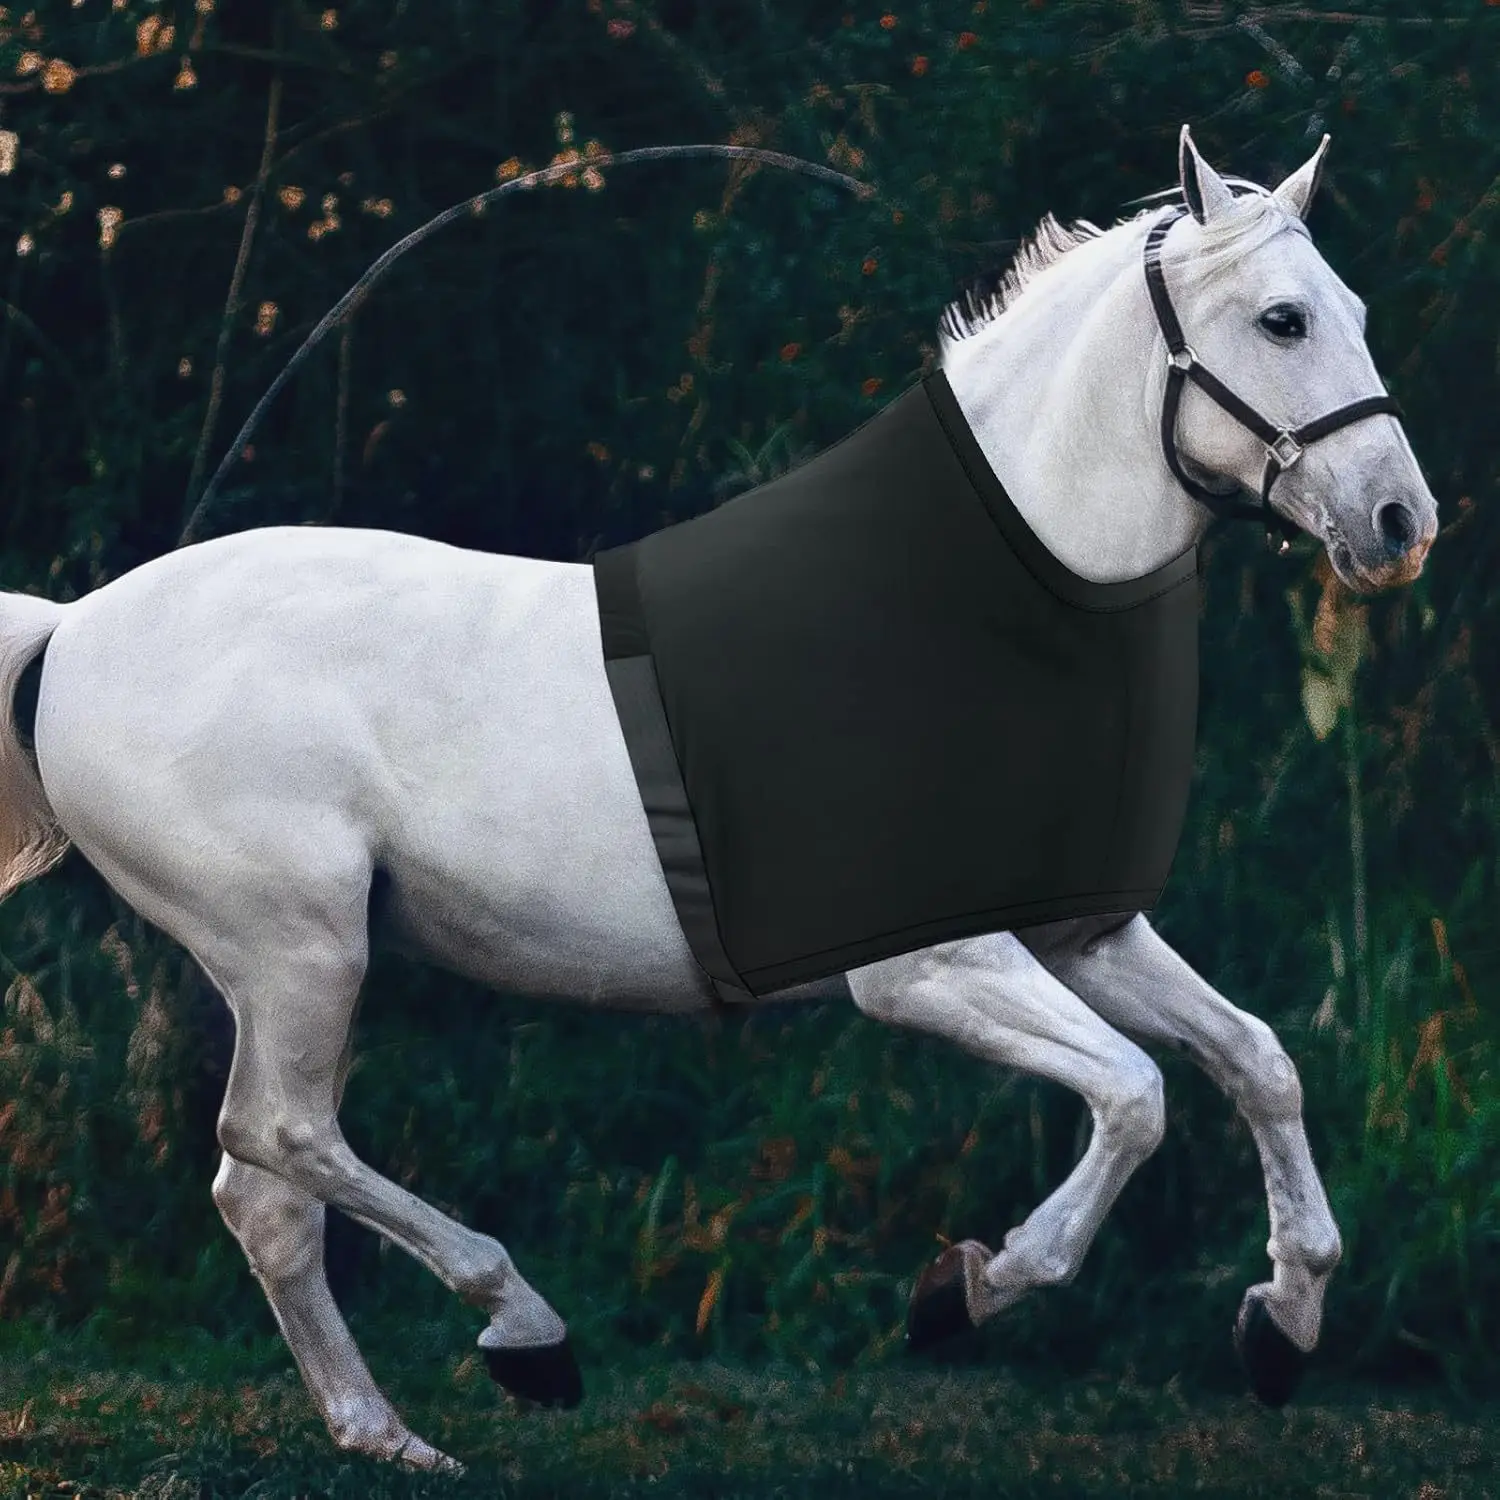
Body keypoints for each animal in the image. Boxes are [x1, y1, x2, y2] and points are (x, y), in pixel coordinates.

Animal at [0, 128, 1436, 1472]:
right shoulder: (932, 971)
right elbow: (1137, 1097)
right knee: (281, 1136)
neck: (976, 612)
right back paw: (523, 1331)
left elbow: (1257, 1060)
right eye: (1283, 319)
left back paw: (387, 1433)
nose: (1399, 522)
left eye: (1354, 309)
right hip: (297, 952)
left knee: (265, 1191)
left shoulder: (1082, 934)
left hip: (297, 967)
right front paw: (967, 1289)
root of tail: (73, 630)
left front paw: (1283, 1323)